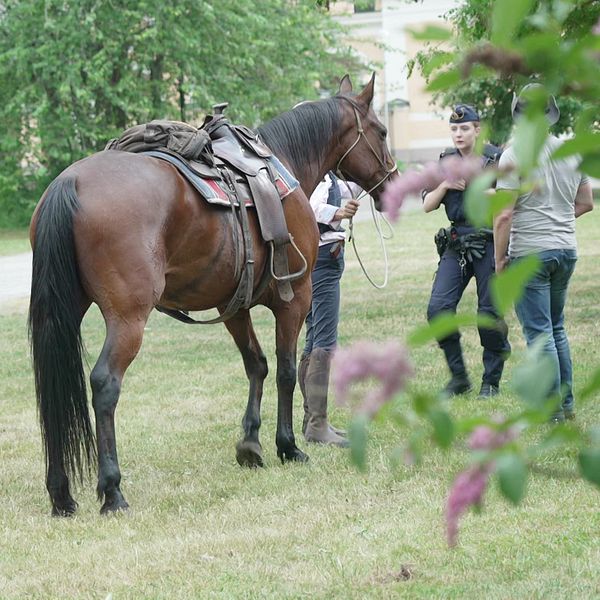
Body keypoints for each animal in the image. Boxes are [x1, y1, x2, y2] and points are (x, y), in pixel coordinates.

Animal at [28, 75, 396, 516]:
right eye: (381, 131)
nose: (393, 182)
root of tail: (70, 181)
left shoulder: (233, 305)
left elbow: (256, 365)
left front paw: (250, 444)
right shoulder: (295, 298)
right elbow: (287, 370)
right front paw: (287, 446)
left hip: (63, 313)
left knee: (52, 390)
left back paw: (60, 493)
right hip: (128, 318)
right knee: (104, 383)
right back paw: (112, 490)